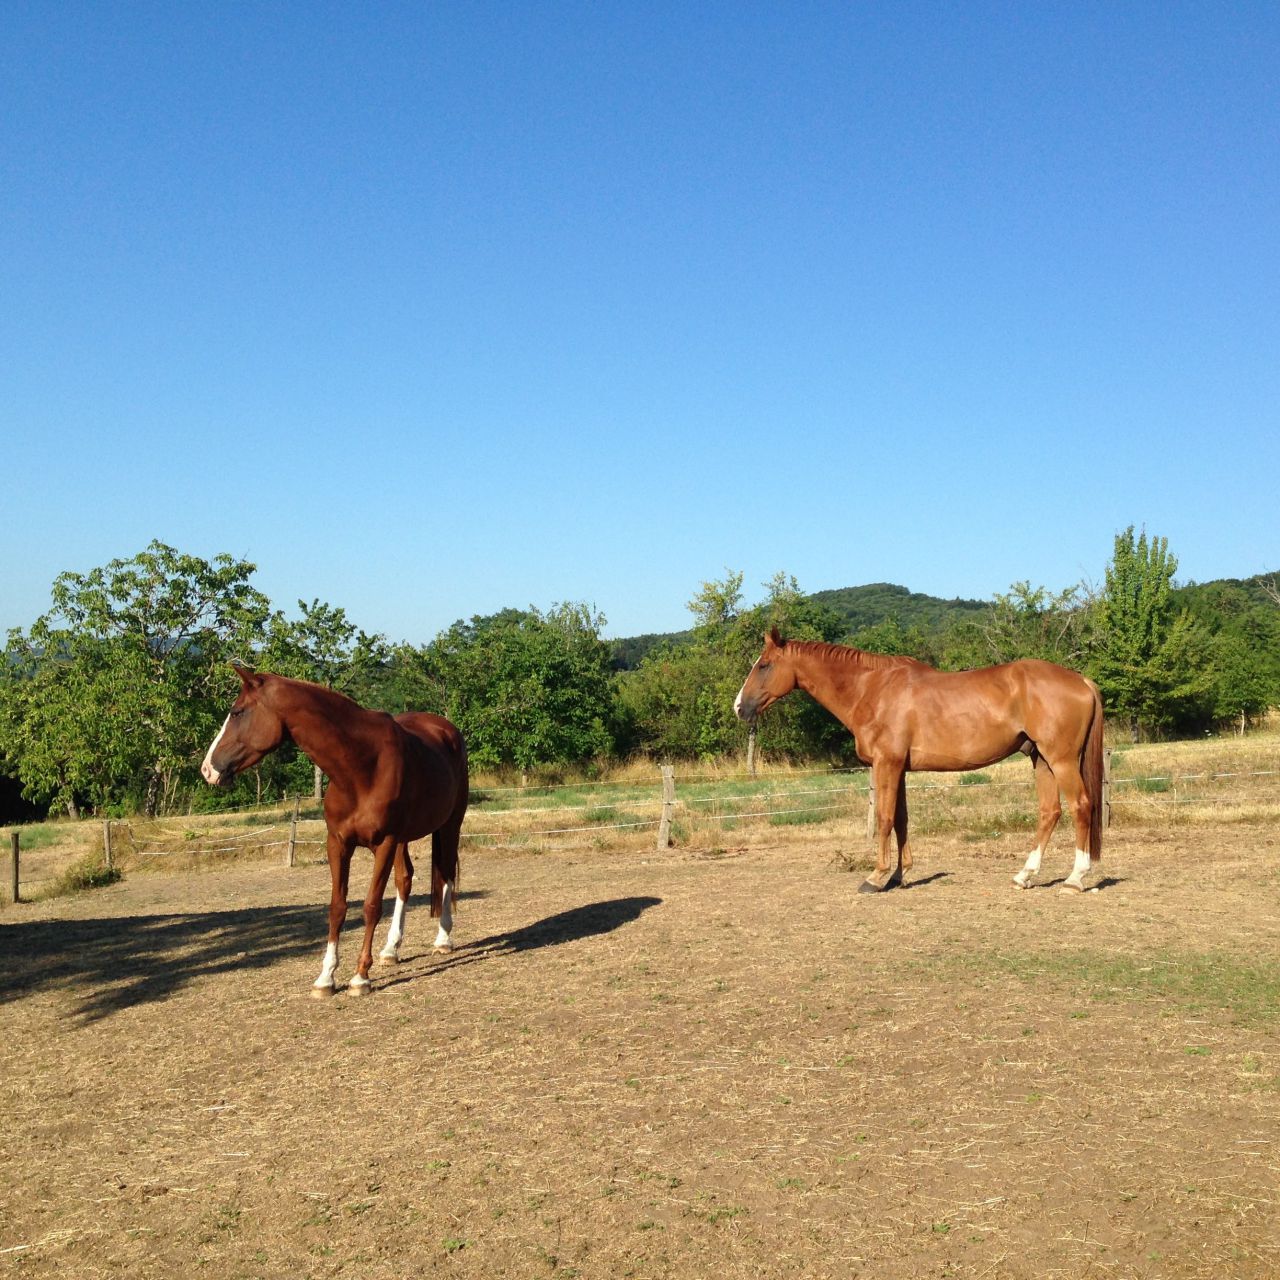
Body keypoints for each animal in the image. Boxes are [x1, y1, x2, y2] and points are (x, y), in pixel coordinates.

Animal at [200, 665, 468, 996]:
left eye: (237, 712)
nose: (207, 768)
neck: (359, 768)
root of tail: (445, 728)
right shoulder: (338, 844)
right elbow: (337, 907)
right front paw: (326, 977)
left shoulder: (384, 843)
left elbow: (370, 906)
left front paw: (360, 977)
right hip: (404, 840)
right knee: (404, 880)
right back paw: (390, 950)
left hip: (449, 824)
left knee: (446, 873)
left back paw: (443, 939)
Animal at [733, 629, 1104, 894]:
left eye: (763, 665)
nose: (740, 707)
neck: (872, 690)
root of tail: (1081, 680)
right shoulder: (899, 769)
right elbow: (901, 820)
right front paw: (899, 875)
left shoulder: (886, 764)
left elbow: (884, 818)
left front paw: (876, 876)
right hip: (1041, 760)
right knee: (1049, 813)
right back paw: (1024, 876)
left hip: (1061, 760)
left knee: (1081, 806)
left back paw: (1075, 879)